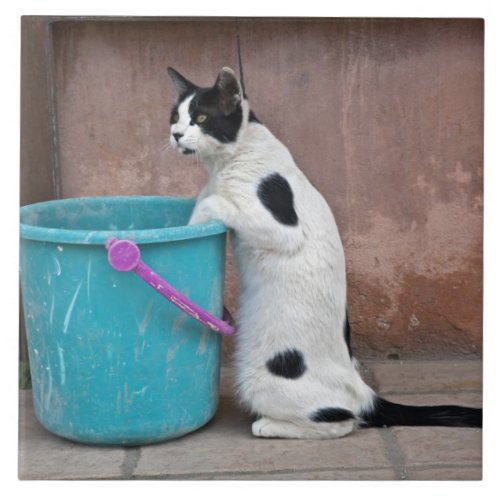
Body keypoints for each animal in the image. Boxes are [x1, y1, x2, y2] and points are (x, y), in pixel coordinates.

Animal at [167, 65, 480, 438]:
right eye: (175, 116)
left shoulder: (283, 228)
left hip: (264, 378)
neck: (227, 162)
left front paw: (194, 222)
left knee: (342, 421)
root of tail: (364, 391)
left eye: (201, 117)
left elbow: (214, 202)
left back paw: (269, 425)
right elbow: (204, 198)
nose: (175, 134)